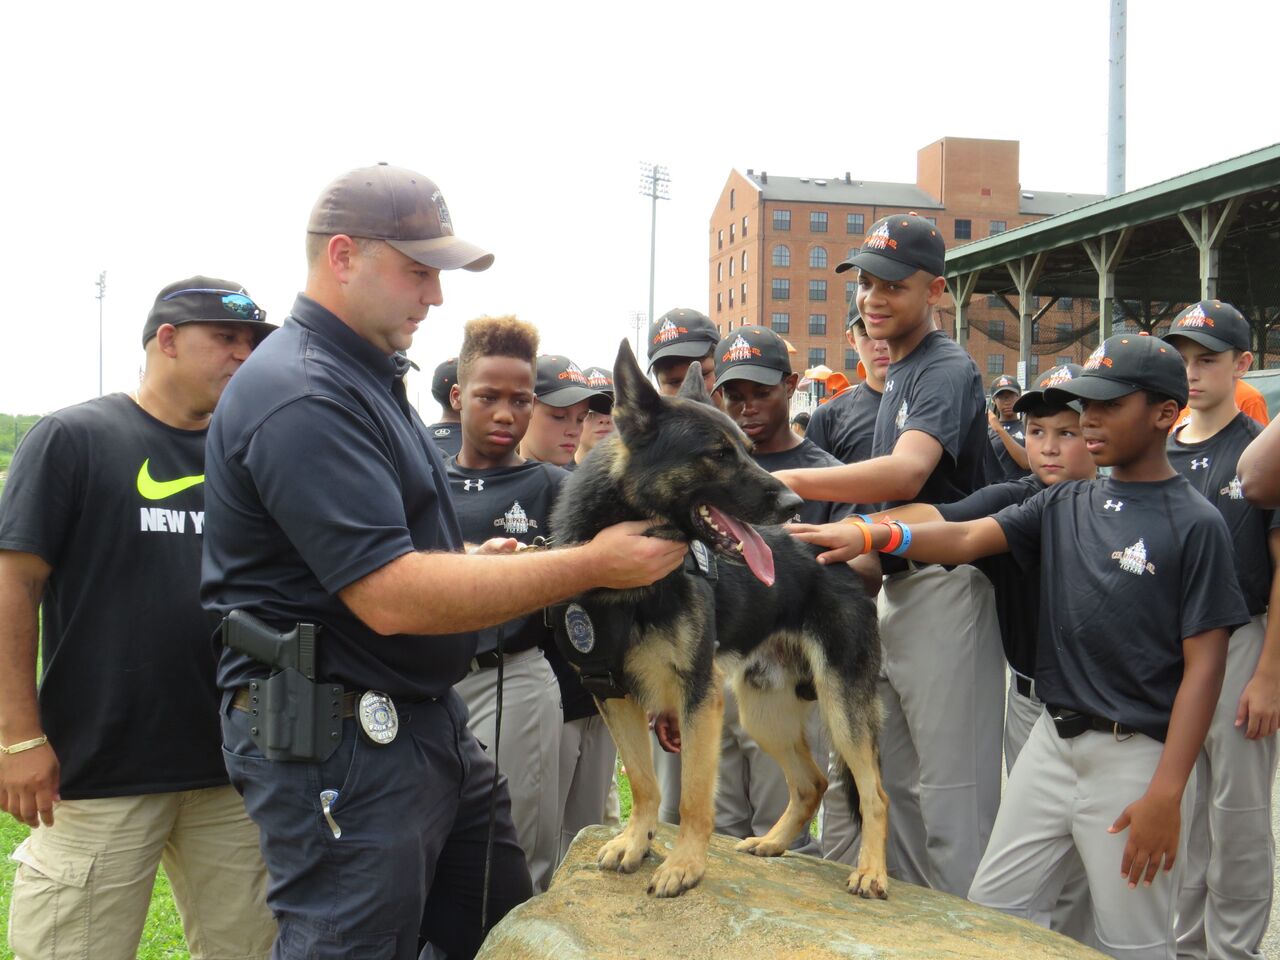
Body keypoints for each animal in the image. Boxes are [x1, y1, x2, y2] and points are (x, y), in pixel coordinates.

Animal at [550, 343, 890, 901]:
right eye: (719, 454)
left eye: (748, 449)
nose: (794, 503)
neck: (633, 588)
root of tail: (834, 559)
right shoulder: (612, 693)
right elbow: (644, 781)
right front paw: (636, 842)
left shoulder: (697, 696)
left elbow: (692, 794)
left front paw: (684, 865)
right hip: (764, 713)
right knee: (812, 783)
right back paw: (772, 842)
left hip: (842, 708)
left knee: (875, 793)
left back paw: (871, 872)